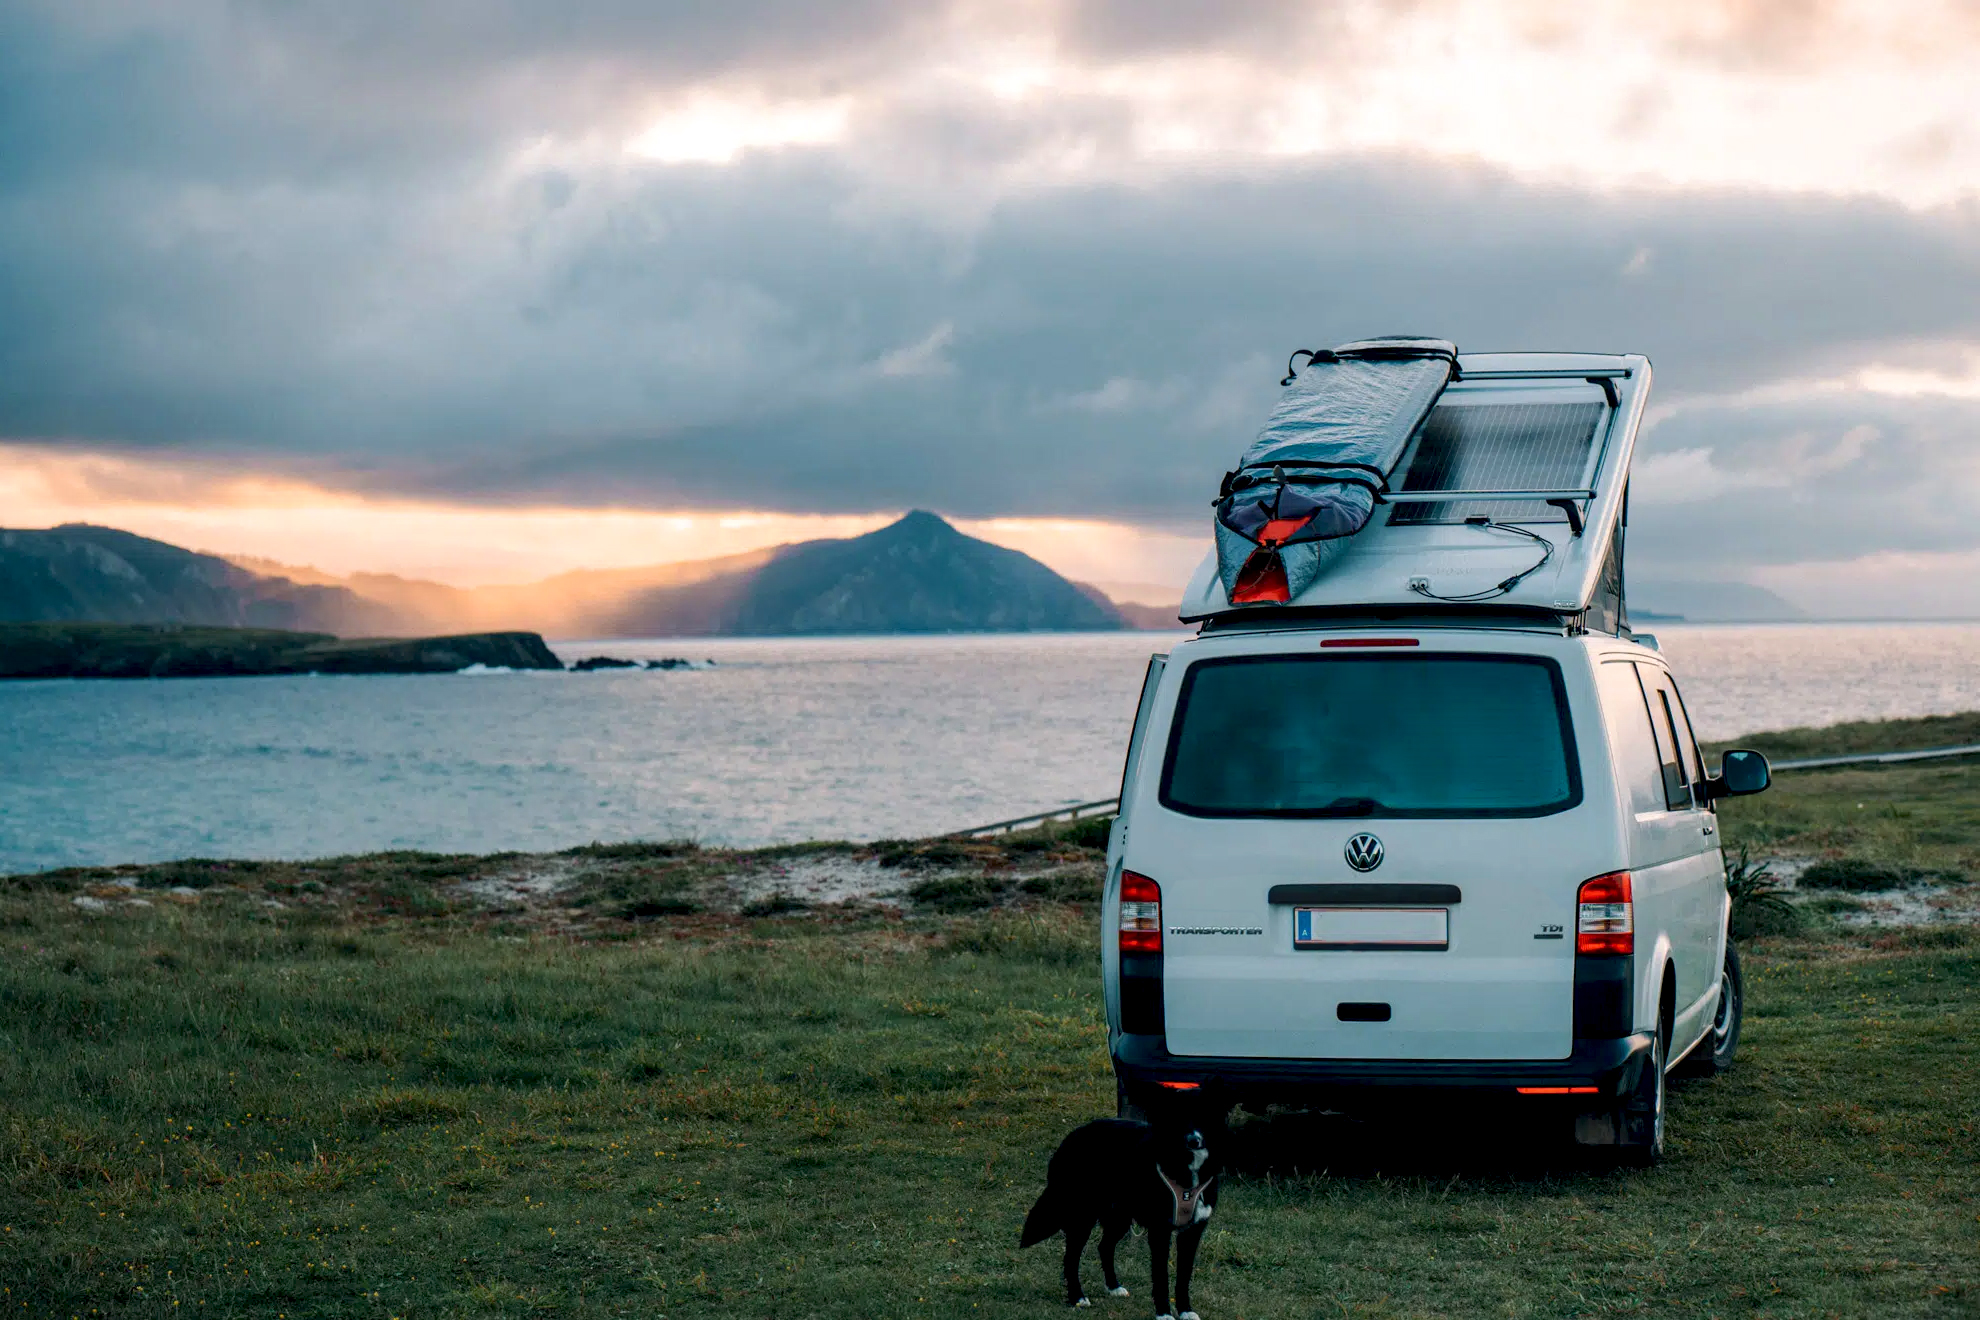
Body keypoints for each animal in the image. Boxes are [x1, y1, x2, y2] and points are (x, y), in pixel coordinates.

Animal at [1021, 1092, 1219, 1314]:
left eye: (1204, 1116)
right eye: (1179, 1117)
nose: (1194, 1140)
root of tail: (1072, 1137)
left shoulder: (1193, 1231)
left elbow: (1184, 1276)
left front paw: (1186, 1311)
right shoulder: (1160, 1229)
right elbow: (1160, 1276)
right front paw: (1164, 1314)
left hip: (1119, 1218)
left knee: (1104, 1247)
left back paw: (1113, 1287)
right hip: (1083, 1217)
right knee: (1071, 1257)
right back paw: (1077, 1297)